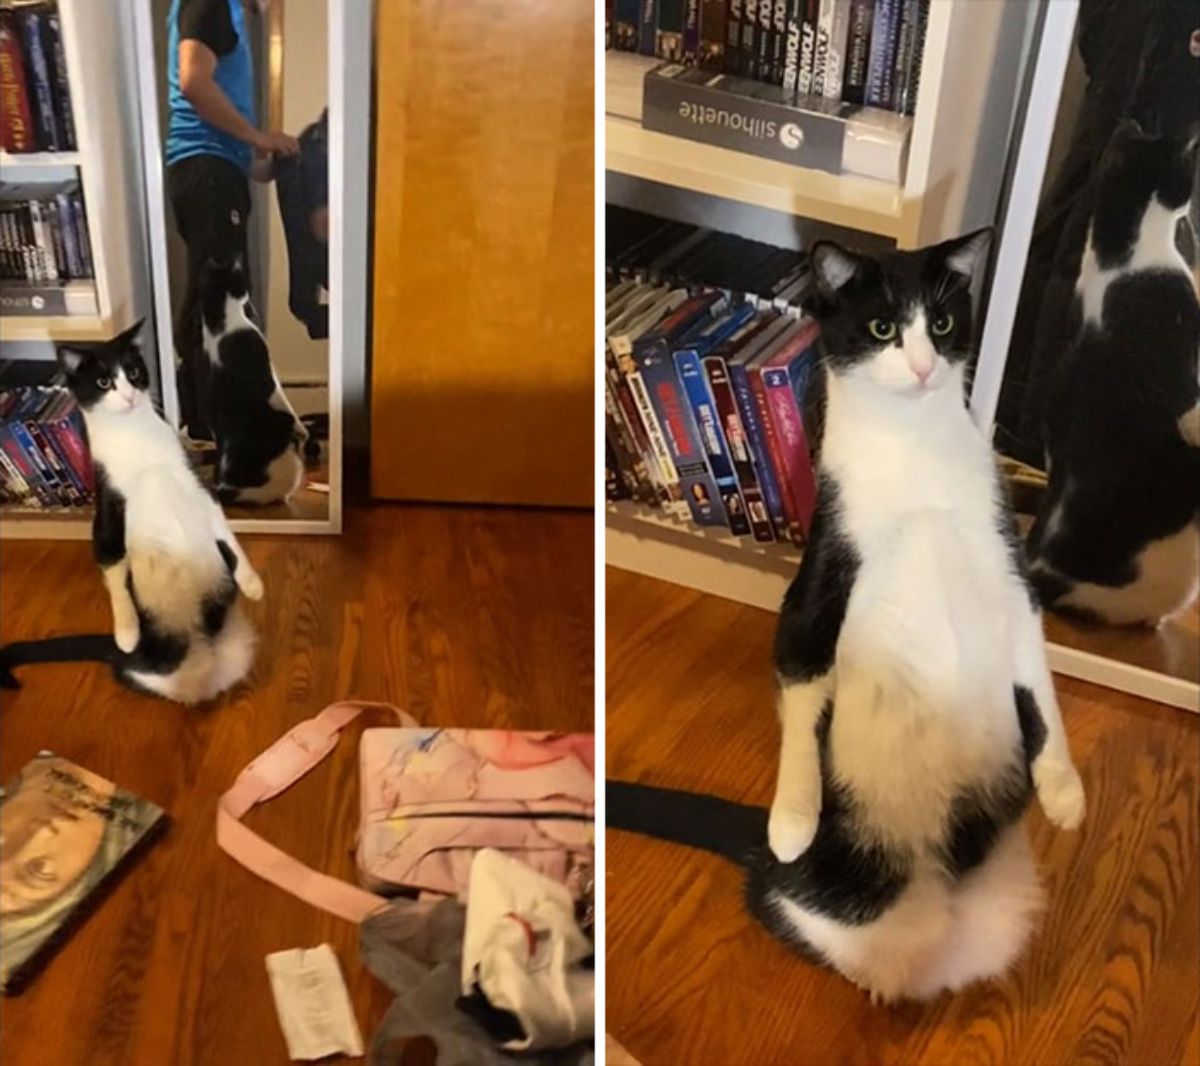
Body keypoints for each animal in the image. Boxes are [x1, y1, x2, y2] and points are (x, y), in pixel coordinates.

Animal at [0, 324, 260, 705]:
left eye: (134, 372)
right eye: (104, 382)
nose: (128, 395)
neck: (135, 438)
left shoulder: (199, 487)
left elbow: (225, 532)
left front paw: (253, 583)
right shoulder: (107, 511)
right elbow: (112, 570)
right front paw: (125, 630)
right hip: (146, 671)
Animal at [199, 260, 307, 506]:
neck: (222, 326)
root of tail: (228, 489)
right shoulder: (270, 378)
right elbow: (285, 401)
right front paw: (305, 430)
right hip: (292, 462)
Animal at [758, 229, 1089, 1003]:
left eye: (940, 323)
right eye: (882, 327)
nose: (921, 364)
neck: (914, 452)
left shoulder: (1009, 571)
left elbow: (1041, 686)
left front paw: (1063, 789)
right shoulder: (817, 586)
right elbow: (801, 692)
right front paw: (792, 818)